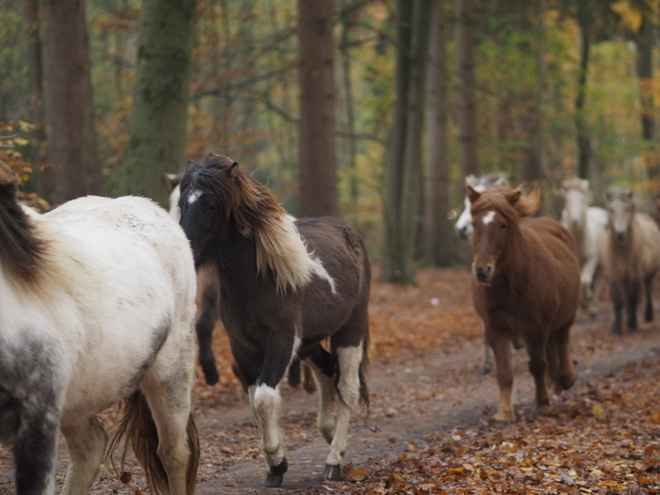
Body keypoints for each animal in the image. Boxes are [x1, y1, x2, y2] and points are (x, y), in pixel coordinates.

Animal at [177, 155, 372, 488]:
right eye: (181, 202)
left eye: (211, 205)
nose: (181, 249)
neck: (258, 280)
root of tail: (350, 233)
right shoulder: (243, 346)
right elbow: (255, 401)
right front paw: (274, 465)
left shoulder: (280, 342)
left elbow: (265, 399)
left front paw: (278, 464)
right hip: (309, 342)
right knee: (325, 372)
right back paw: (329, 433)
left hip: (350, 332)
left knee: (347, 387)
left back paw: (334, 460)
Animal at [470, 186, 576, 422]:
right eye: (474, 224)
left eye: (502, 225)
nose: (482, 270)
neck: (511, 286)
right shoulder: (495, 329)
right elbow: (504, 372)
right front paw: (503, 412)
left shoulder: (536, 329)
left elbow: (537, 365)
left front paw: (542, 404)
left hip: (564, 319)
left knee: (561, 342)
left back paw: (564, 380)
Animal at [564, 179, 608, 318]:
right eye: (567, 200)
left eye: (582, 199)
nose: (574, 221)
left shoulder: (592, 258)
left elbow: (584, 280)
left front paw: (585, 300)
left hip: (601, 265)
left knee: (597, 283)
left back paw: (593, 309)